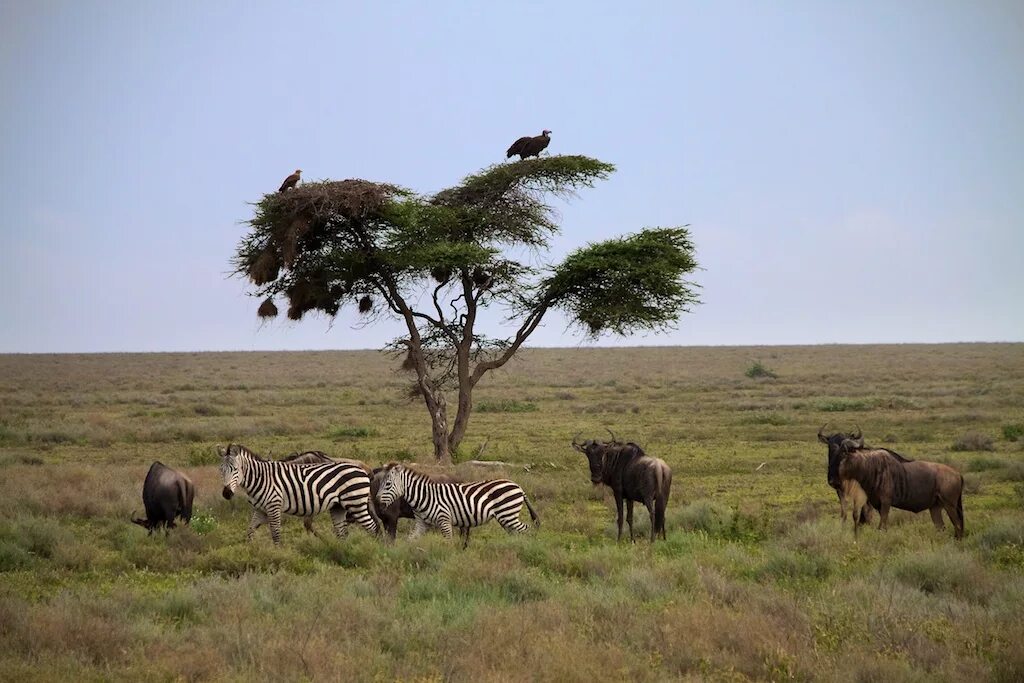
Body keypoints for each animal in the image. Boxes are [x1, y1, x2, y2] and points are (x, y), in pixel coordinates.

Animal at [218, 444, 378, 544]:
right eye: (220, 470)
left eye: (236, 469)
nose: (226, 493)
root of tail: (365, 468)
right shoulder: (261, 509)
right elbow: (250, 531)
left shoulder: (309, 501)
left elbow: (280, 531)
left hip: (356, 501)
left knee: (372, 523)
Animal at [374, 462, 536, 548]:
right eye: (379, 483)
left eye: (387, 484)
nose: (377, 502)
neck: (423, 496)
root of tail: (518, 486)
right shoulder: (422, 524)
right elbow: (409, 540)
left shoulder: (444, 520)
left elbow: (448, 543)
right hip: (505, 517)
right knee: (516, 532)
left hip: (508, 514)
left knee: (528, 529)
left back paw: (527, 548)